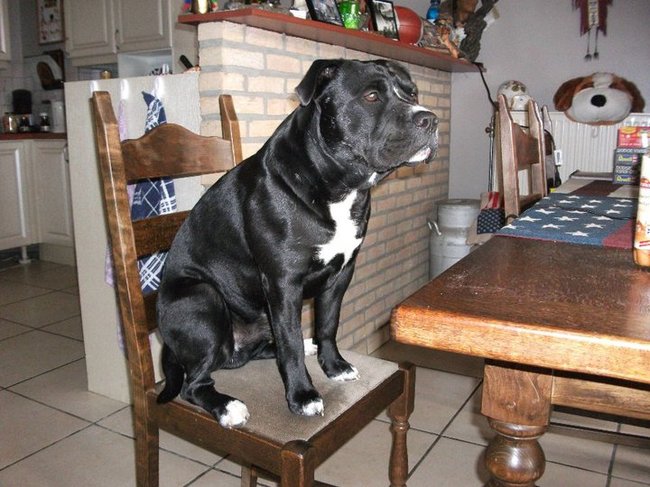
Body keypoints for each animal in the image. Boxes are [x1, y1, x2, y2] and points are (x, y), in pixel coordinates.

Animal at [156, 59, 439, 428]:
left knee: (252, 351)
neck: (338, 185)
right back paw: (228, 407)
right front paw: (303, 396)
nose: (430, 118)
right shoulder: (283, 282)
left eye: (413, 93)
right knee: (195, 382)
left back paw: (304, 347)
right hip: (202, 298)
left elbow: (327, 323)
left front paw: (333, 366)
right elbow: (289, 343)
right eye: (372, 96)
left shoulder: (341, 273)